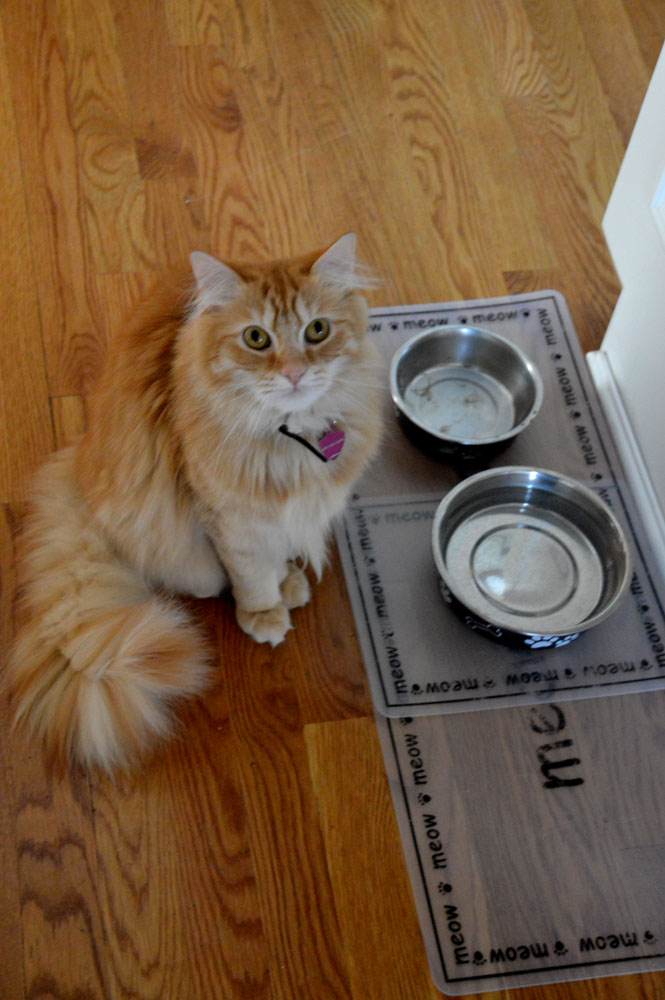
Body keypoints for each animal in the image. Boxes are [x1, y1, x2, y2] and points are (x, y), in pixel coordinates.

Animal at [5, 234, 382, 774]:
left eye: (317, 330)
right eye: (256, 338)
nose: (294, 373)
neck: (292, 443)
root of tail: (81, 460)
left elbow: (281, 548)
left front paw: (287, 578)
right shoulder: (230, 518)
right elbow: (251, 572)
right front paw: (264, 612)